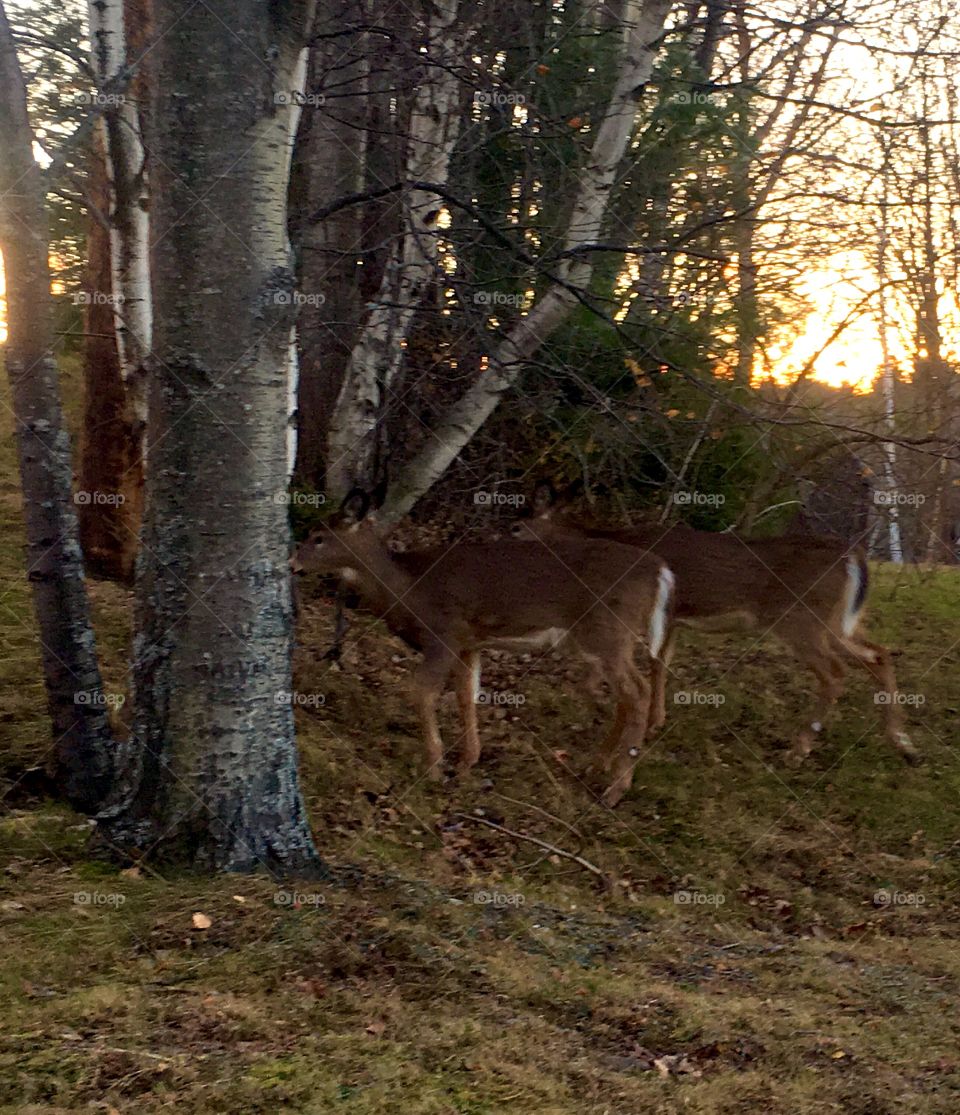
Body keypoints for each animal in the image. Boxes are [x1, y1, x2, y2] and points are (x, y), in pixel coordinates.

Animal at [290, 492, 675, 807]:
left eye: (319, 537)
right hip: (610, 639)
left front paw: (434, 767)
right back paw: (598, 764)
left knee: (637, 691)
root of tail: (661, 572)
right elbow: (466, 694)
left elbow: (422, 692)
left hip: (607, 632)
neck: (407, 588)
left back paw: (615, 788)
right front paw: (466, 761)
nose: (292, 563)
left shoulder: (443, 634)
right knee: (627, 694)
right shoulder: (468, 643)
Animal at [511, 484, 920, 765]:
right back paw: (903, 743)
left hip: (800, 619)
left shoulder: (660, 613)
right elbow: (661, 664)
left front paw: (619, 710)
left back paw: (799, 749)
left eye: (516, 527)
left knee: (835, 673)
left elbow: (650, 664)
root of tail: (853, 556)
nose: (500, 537)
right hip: (837, 622)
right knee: (879, 655)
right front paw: (654, 719)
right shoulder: (672, 617)